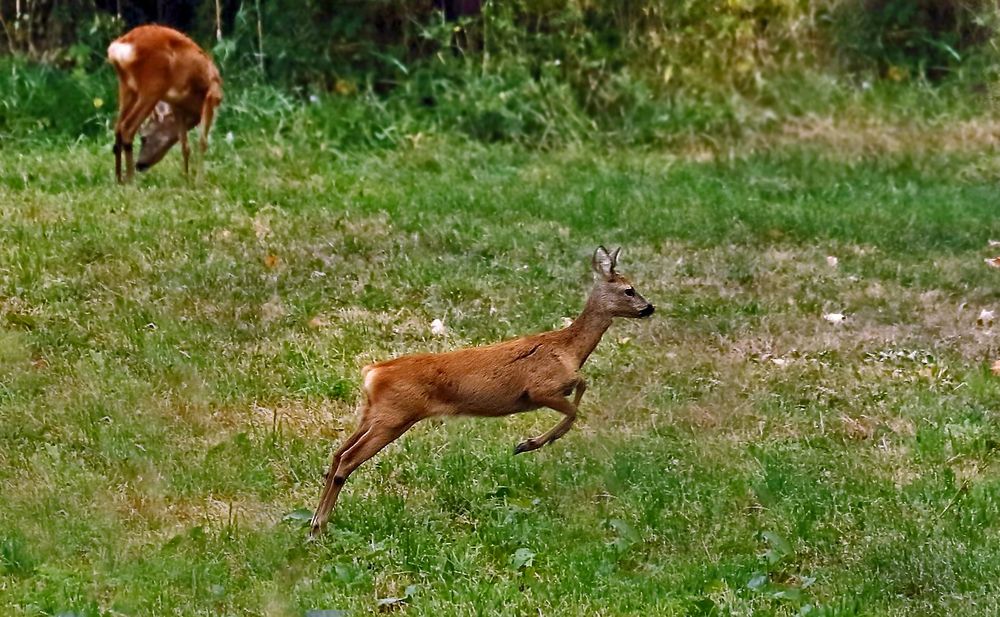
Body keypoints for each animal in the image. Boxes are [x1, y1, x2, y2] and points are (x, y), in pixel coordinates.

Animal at [106, 24, 222, 183]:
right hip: (152, 87)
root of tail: (119, 47)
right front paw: (199, 182)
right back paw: (131, 181)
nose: (139, 165)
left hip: (127, 88)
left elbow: (184, 145)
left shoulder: (178, 106)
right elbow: (202, 142)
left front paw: (186, 178)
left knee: (117, 127)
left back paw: (119, 180)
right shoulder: (212, 95)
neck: (193, 108)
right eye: (143, 138)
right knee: (127, 128)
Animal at [312, 245, 656, 536]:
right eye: (629, 289)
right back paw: (319, 527)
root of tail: (372, 372)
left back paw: (316, 521)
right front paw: (528, 444)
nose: (649, 307)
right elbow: (574, 409)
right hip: (395, 415)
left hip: (373, 414)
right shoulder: (539, 389)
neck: (567, 348)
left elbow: (581, 387)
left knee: (337, 454)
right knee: (347, 460)